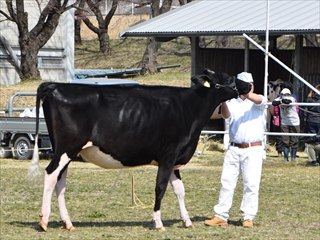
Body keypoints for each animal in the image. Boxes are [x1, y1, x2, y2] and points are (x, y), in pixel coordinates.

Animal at [27, 69, 251, 231]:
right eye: (229, 77)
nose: (249, 85)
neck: (190, 108)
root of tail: (54, 85)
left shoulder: (175, 158)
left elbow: (180, 189)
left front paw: (186, 221)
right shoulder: (168, 156)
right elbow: (160, 187)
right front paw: (158, 222)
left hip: (66, 150)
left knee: (60, 180)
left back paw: (67, 223)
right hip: (67, 147)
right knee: (51, 174)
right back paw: (43, 221)